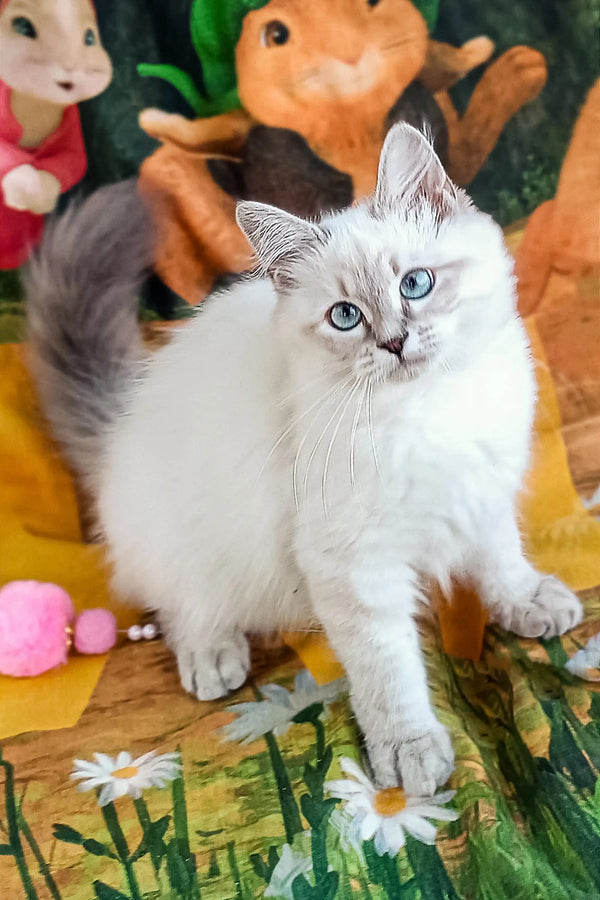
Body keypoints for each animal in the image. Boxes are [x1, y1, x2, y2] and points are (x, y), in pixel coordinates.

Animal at [27, 123, 580, 792]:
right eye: (346, 317)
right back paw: (213, 655)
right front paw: (409, 749)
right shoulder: (352, 565)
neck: (431, 410)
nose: (394, 342)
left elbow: (502, 561)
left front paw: (528, 602)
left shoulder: (483, 492)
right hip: (184, 542)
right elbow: (389, 671)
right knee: (180, 603)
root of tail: (119, 430)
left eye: (415, 284)